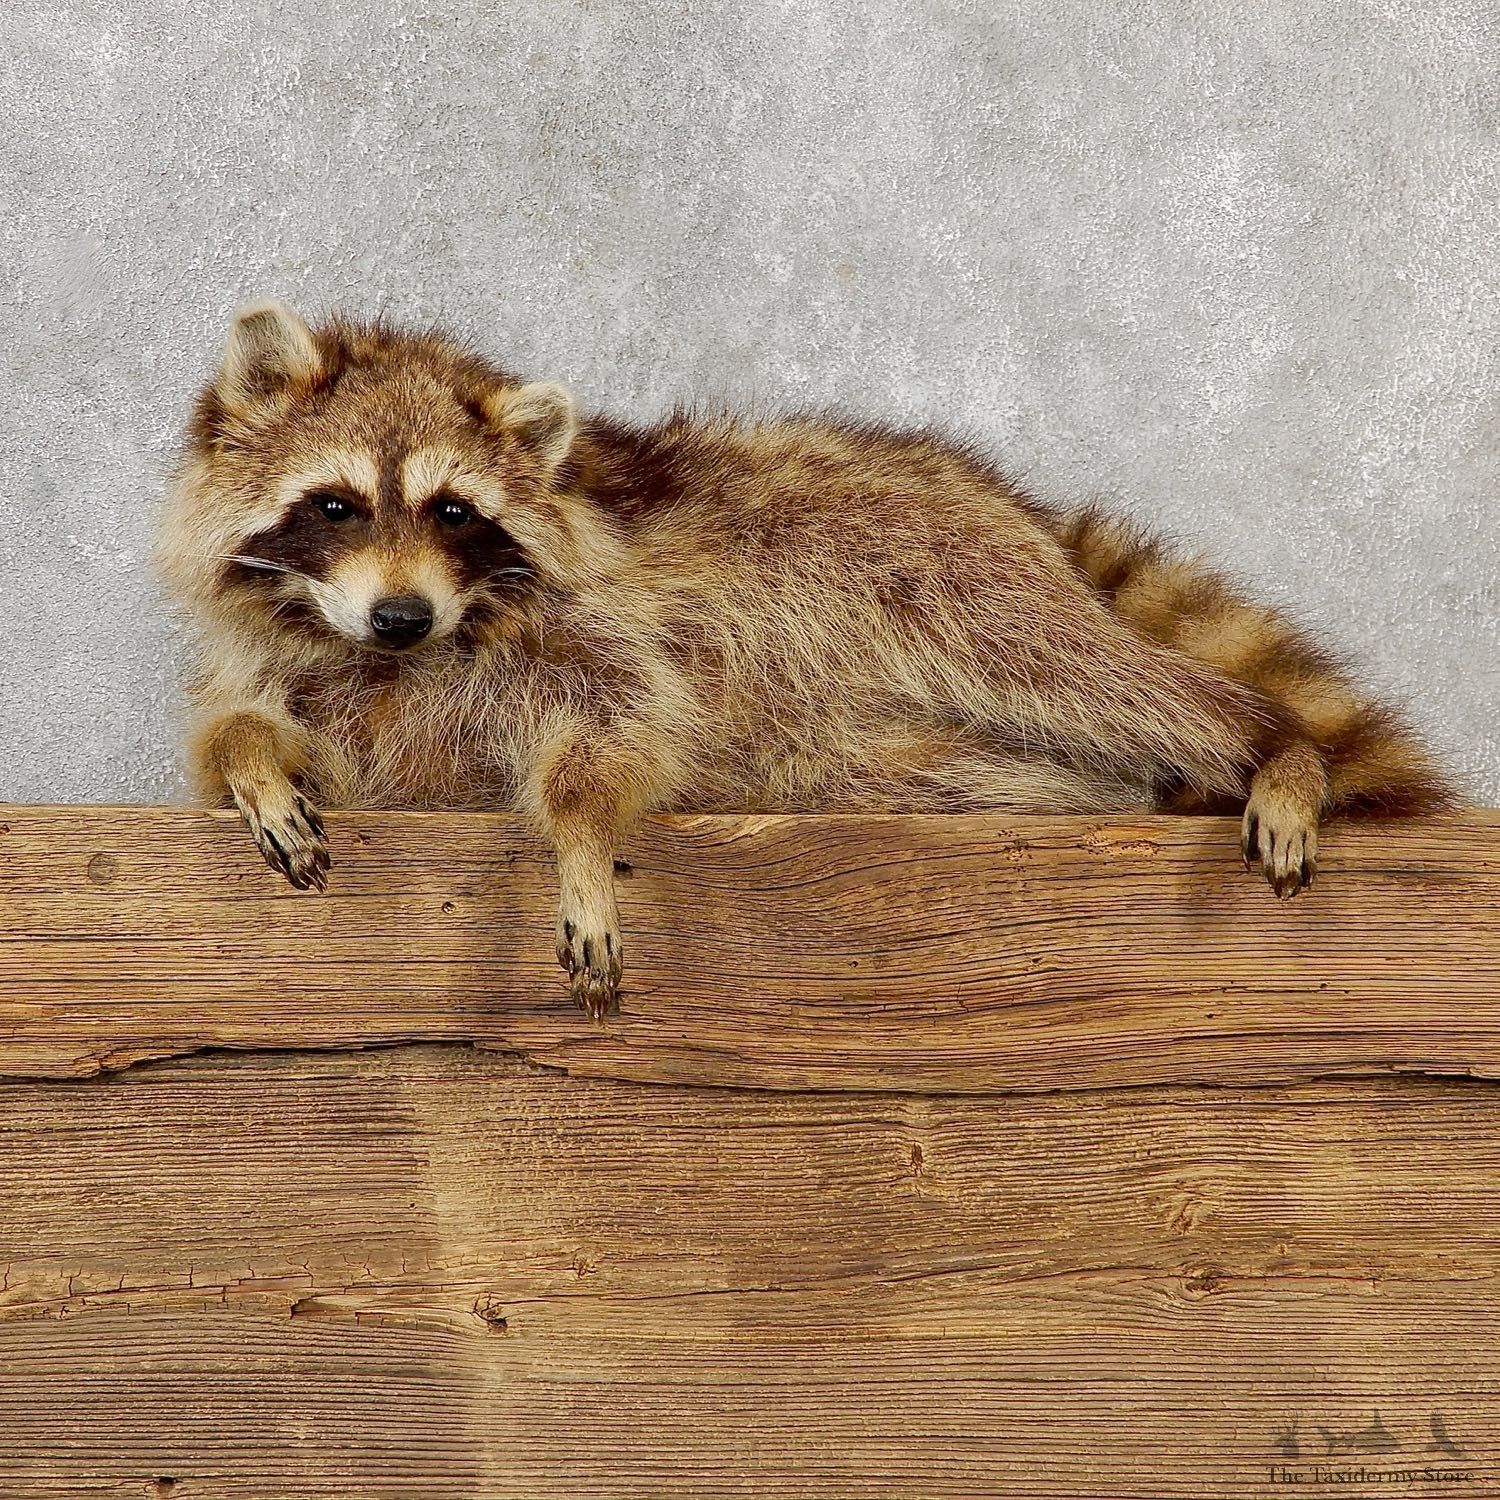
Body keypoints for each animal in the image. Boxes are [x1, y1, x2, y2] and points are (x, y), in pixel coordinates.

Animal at [157, 302, 1453, 1019]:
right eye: (334, 504)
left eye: (456, 513)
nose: (400, 618)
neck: (402, 655)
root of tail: (1002, 497)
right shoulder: (325, 677)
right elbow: (266, 733)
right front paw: (255, 760)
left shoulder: (598, 630)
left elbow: (624, 730)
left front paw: (581, 839)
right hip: (876, 748)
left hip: (943, 577)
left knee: (1086, 676)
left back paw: (1268, 743)